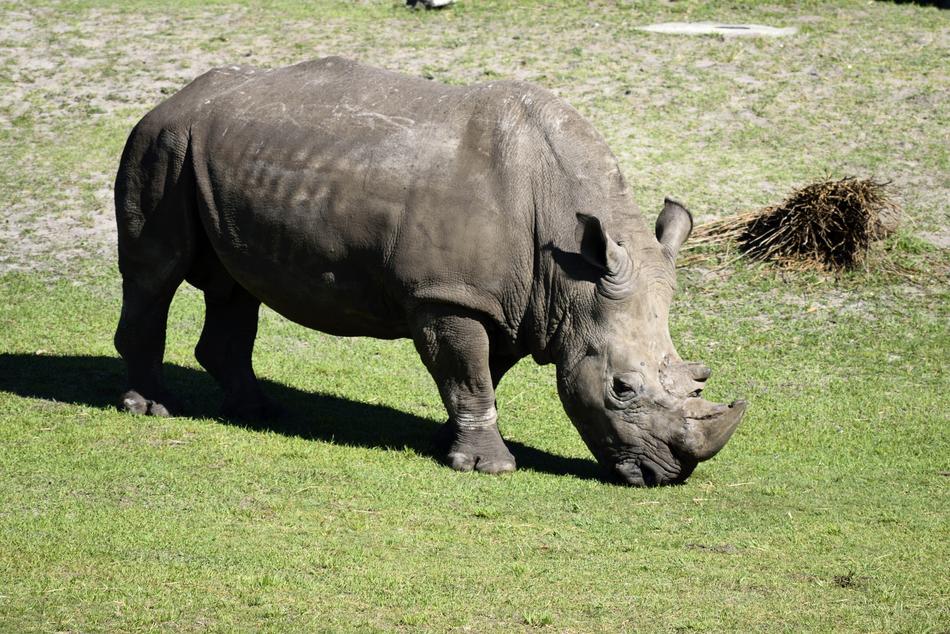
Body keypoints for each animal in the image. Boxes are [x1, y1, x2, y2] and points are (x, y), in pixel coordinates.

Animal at [114, 57, 746, 486]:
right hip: (161, 144)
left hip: (209, 156)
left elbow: (482, 373)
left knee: (235, 285)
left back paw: (259, 411)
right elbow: (470, 373)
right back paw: (151, 408)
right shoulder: (448, 295)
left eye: (699, 379)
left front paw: (447, 441)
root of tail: (171, 97)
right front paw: (489, 467)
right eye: (620, 388)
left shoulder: (510, 303)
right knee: (154, 274)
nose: (669, 475)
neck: (570, 273)